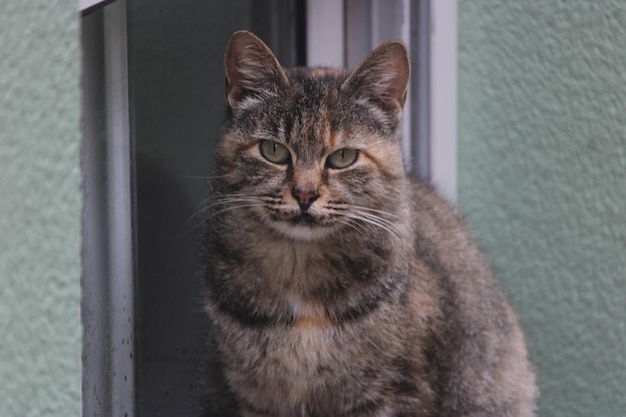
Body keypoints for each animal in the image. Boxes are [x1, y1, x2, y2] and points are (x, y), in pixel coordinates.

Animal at [201, 30, 536, 416]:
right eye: (274, 151)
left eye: (343, 157)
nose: (304, 194)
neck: (299, 272)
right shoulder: (258, 399)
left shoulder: (396, 392)